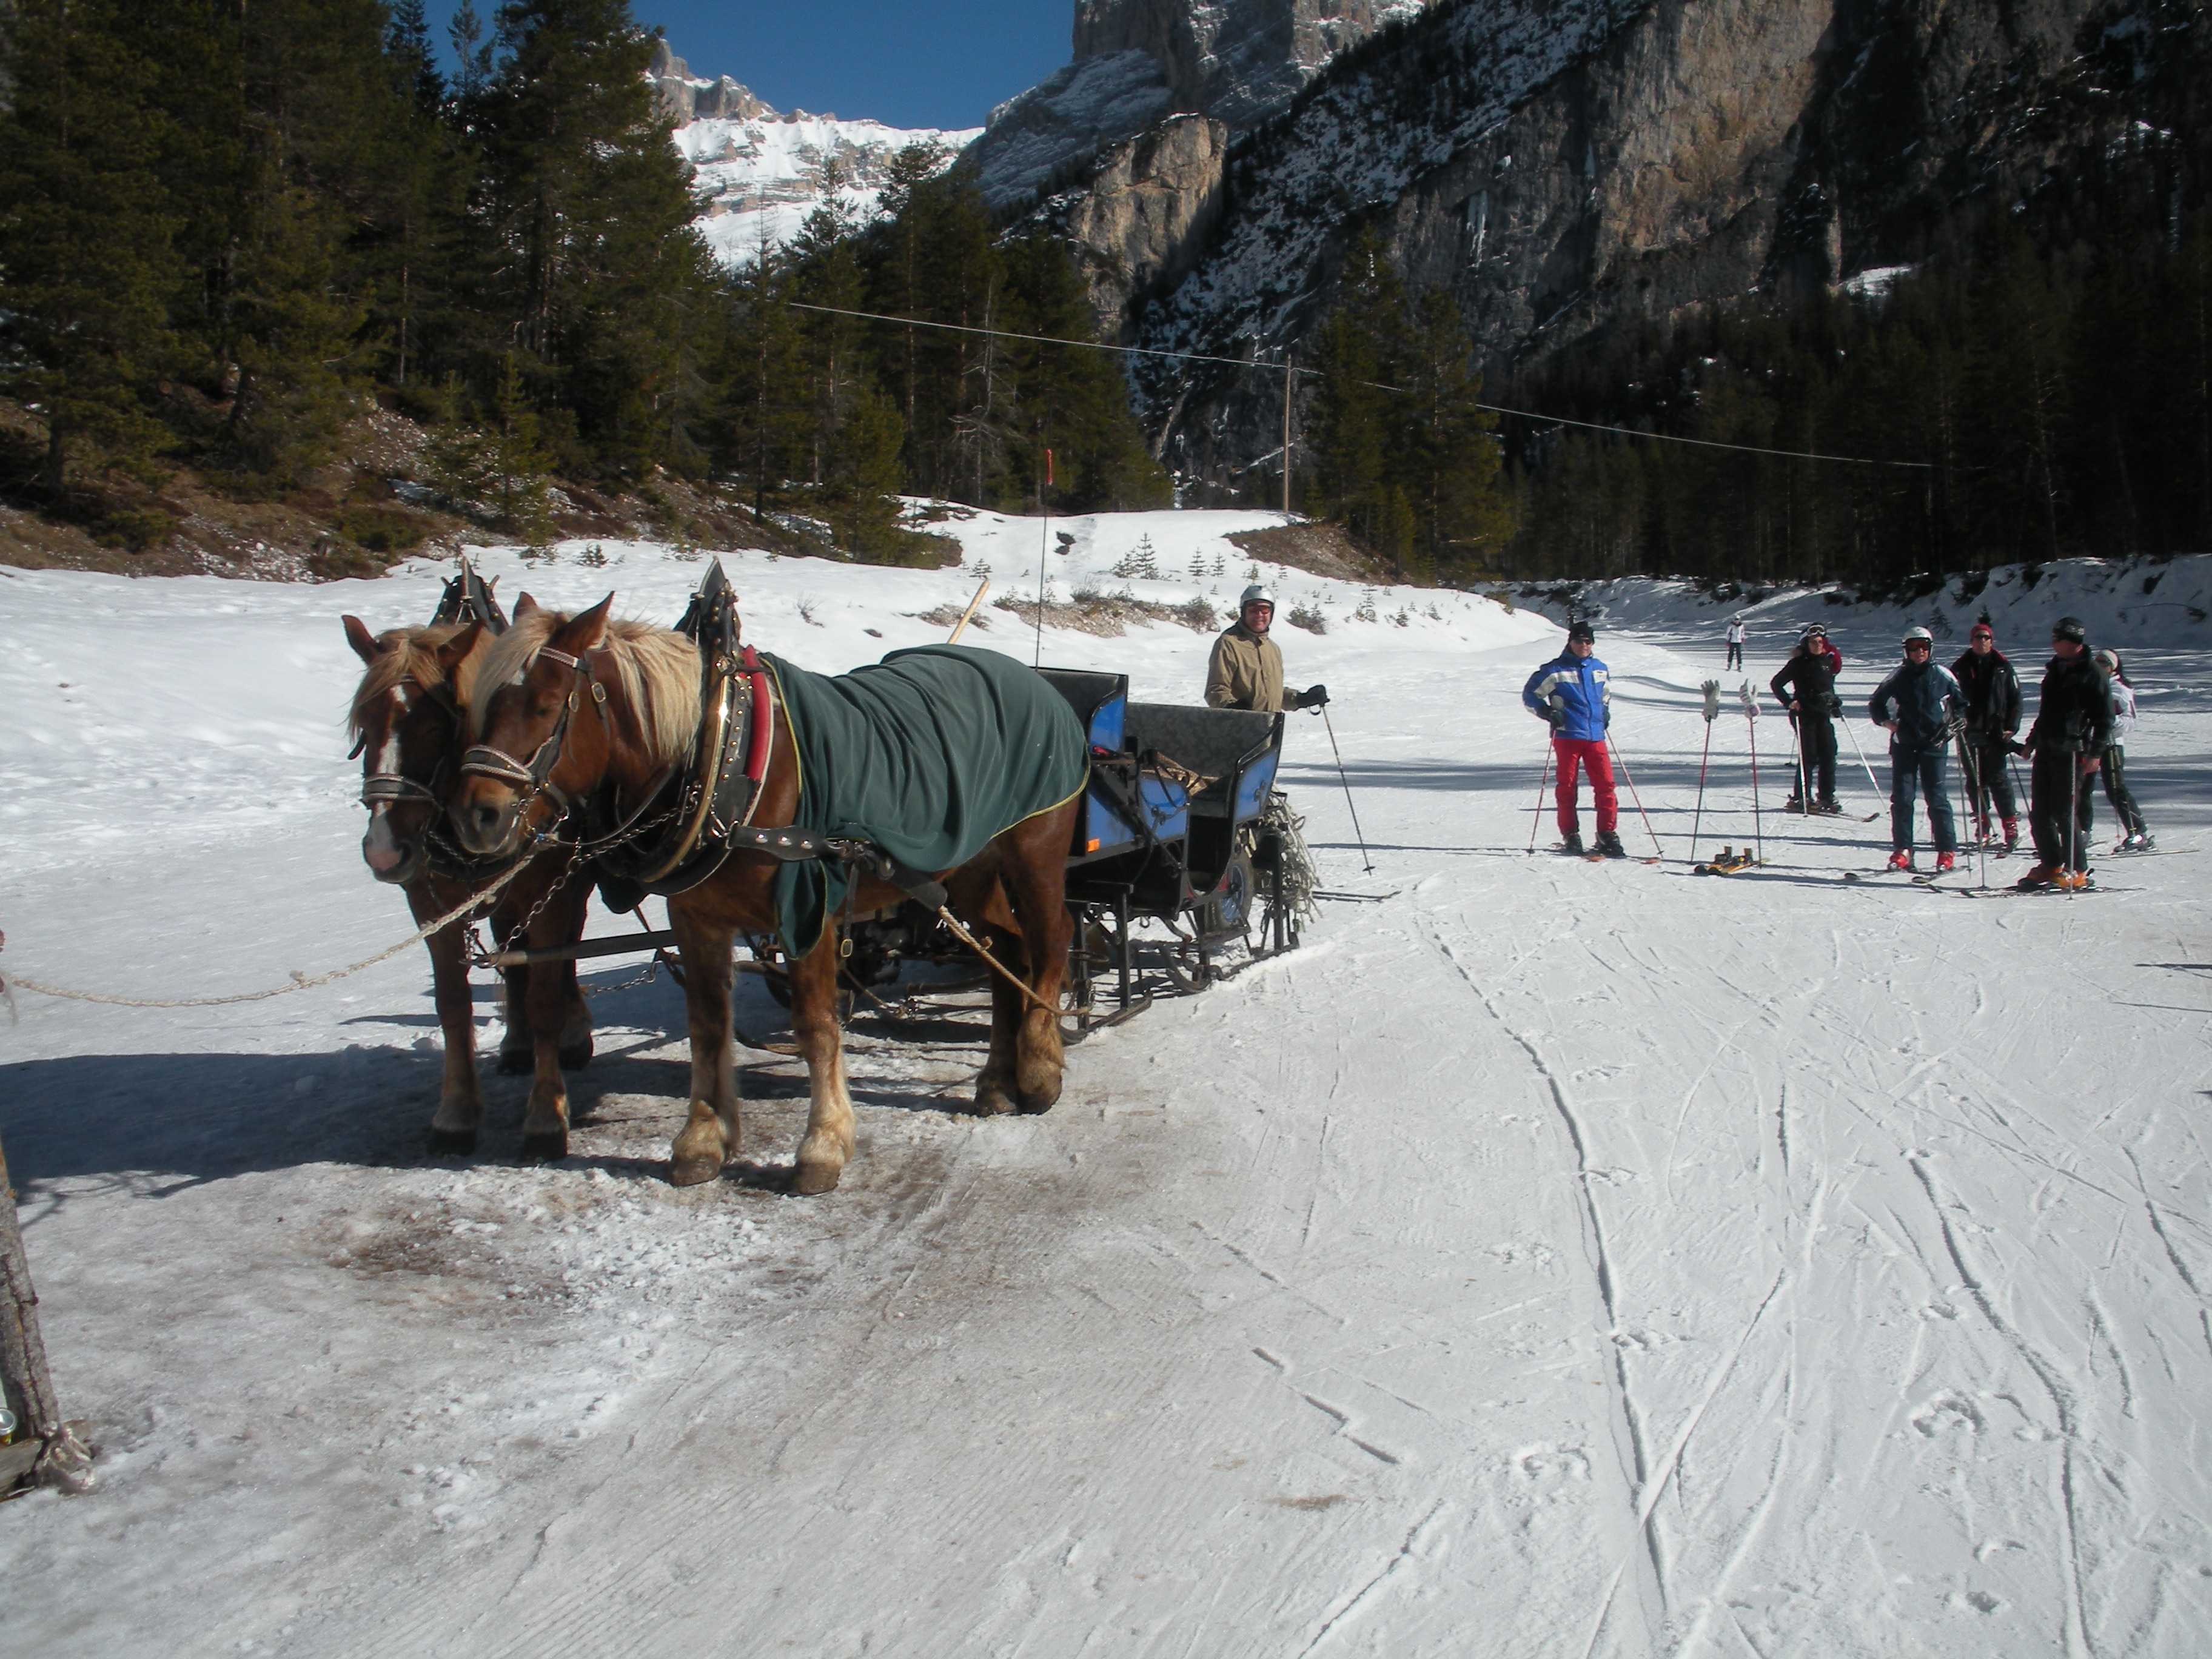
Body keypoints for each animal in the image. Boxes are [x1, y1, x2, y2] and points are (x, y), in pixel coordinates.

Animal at [343, 615, 592, 1159]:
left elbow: (545, 996)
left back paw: (574, 1034)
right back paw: (517, 1045)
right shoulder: (429, 904)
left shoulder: (550, 891)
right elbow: (453, 1003)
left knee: (564, 954)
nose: (384, 850)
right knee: (514, 959)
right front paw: (455, 1113)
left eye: (433, 726)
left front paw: (546, 1117)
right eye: (364, 726)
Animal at [442, 597, 1079, 1194]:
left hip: (1035, 857)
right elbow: (707, 1025)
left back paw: (1041, 1069)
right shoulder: (696, 916)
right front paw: (703, 1139)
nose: (477, 817)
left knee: (1052, 943)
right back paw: (998, 1081)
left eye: (547, 706)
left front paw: (823, 1146)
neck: (722, 761)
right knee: (1005, 954)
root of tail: (1038, 684)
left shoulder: (809, 908)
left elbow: (816, 1027)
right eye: (482, 707)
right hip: (969, 872)